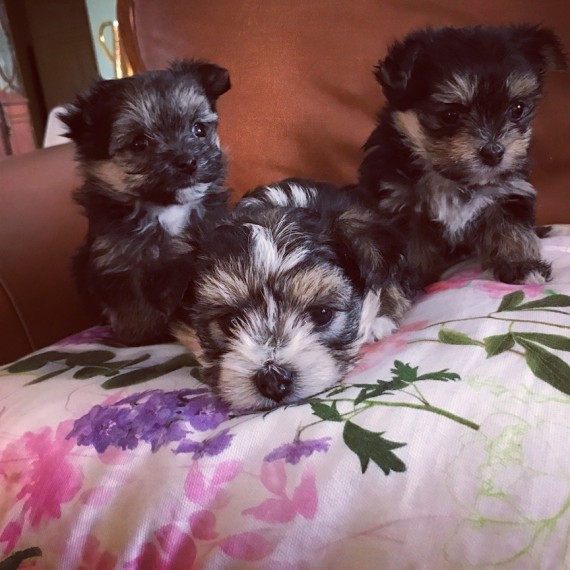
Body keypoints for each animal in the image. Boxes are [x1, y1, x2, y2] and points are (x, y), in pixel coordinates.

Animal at [60, 59, 231, 344]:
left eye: (199, 129)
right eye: (139, 143)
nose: (188, 161)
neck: (167, 209)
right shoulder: (117, 262)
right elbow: (131, 304)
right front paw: (143, 334)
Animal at [356, 24, 567, 288]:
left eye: (517, 110)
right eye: (450, 115)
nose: (494, 152)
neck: (451, 179)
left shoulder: (508, 190)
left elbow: (513, 229)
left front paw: (521, 265)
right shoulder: (399, 202)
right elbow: (411, 248)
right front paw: (412, 280)